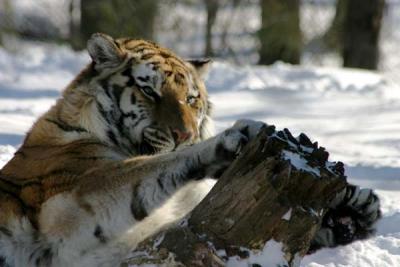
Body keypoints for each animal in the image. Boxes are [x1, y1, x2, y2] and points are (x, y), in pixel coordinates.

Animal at [0, 34, 382, 267]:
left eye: (191, 99)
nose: (184, 133)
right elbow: (152, 166)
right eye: (150, 92)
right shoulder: (70, 206)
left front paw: (353, 210)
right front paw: (235, 136)